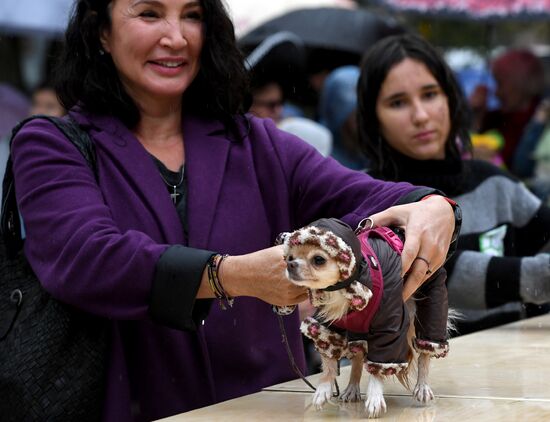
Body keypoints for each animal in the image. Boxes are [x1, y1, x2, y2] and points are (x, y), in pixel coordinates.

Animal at [280, 219, 452, 418]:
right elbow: (329, 360)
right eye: (289, 257)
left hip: (432, 298)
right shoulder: (327, 324)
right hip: (358, 329)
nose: (291, 265)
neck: (343, 289)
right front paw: (324, 387)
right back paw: (352, 388)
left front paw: (375, 396)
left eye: (318, 259)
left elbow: (379, 365)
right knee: (358, 355)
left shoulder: (389, 327)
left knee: (426, 348)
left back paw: (422, 385)